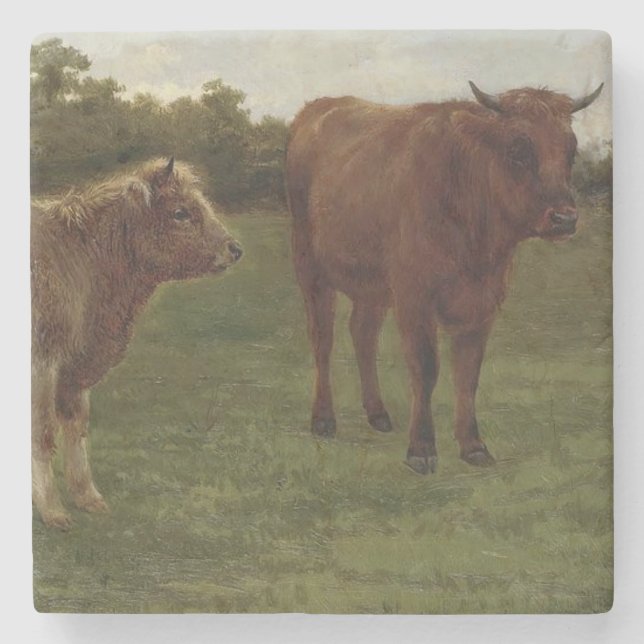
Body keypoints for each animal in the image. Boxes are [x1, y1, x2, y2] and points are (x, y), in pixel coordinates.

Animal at [31, 158, 243, 529]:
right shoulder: (44, 361)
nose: (234, 249)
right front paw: (52, 511)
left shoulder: (76, 367)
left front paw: (87, 496)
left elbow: (76, 425)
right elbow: (42, 432)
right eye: (180, 212)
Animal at [286, 82, 603, 474]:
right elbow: (425, 367)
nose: (564, 218)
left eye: (571, 151)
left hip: (372, 285)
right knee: (323, 339)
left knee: (362, 333)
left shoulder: (482, 304)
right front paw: (421, 450)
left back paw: (378, 414)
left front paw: (474, 446)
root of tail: (319, 108)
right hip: (311, 269)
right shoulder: (415, 298)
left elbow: (467, 374)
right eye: (518, 149)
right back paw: (323, 420)